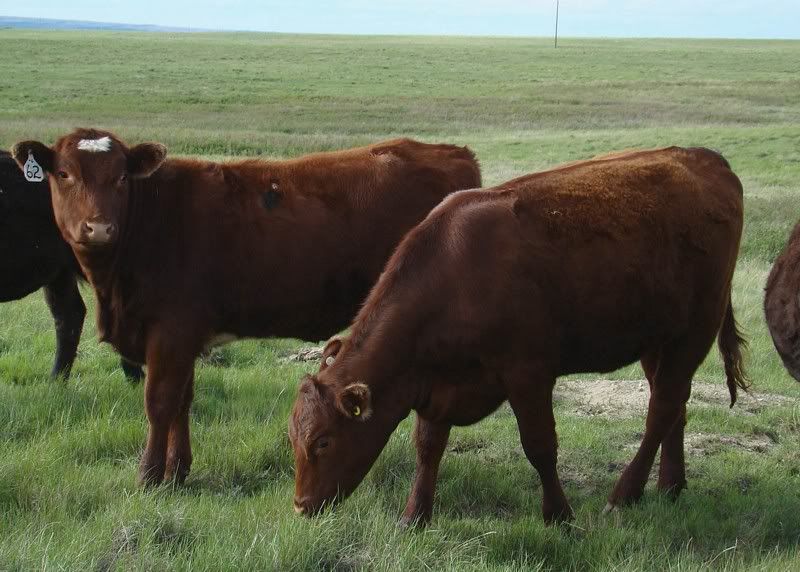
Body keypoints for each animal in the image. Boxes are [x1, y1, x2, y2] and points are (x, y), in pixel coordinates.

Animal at [288, 147, 748, 526]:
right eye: (293, 438)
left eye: (323, 442)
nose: (301, 506)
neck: (456, 276)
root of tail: (704, 158)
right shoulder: (435, 384)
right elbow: (428, 448)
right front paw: (414, 516)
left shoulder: (529, 373)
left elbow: (540, 446)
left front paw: (559, 516)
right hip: (658, 339)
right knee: (673, 405)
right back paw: (670, 486)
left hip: (695, 329)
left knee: (662, 409)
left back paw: (624, 495)